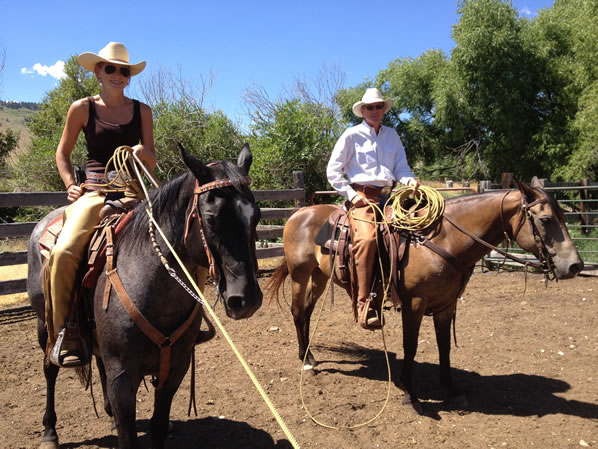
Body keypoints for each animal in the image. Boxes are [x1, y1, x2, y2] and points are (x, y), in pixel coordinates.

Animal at [27, 144, 262, 448]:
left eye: (256, 216)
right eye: (211, 218)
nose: (246, 299)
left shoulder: (175, 369)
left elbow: (159, 426)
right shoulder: (123, 376)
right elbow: (128, 437)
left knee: (98, 361)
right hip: (46, 324)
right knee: (49, 369)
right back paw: (49, 431)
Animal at [268, 178, 584, 412]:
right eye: (545, 220)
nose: (575, 265)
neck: (441, 240)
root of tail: (299, 214)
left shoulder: (447, 305)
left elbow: (444, 347)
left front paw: (451, 388)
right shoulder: (414, 304)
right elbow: (411, 346)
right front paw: (410, 394)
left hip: (320, 276)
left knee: (307, 312)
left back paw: (311, 355)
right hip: (300, 275)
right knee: (298, 311)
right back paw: (306, 361)